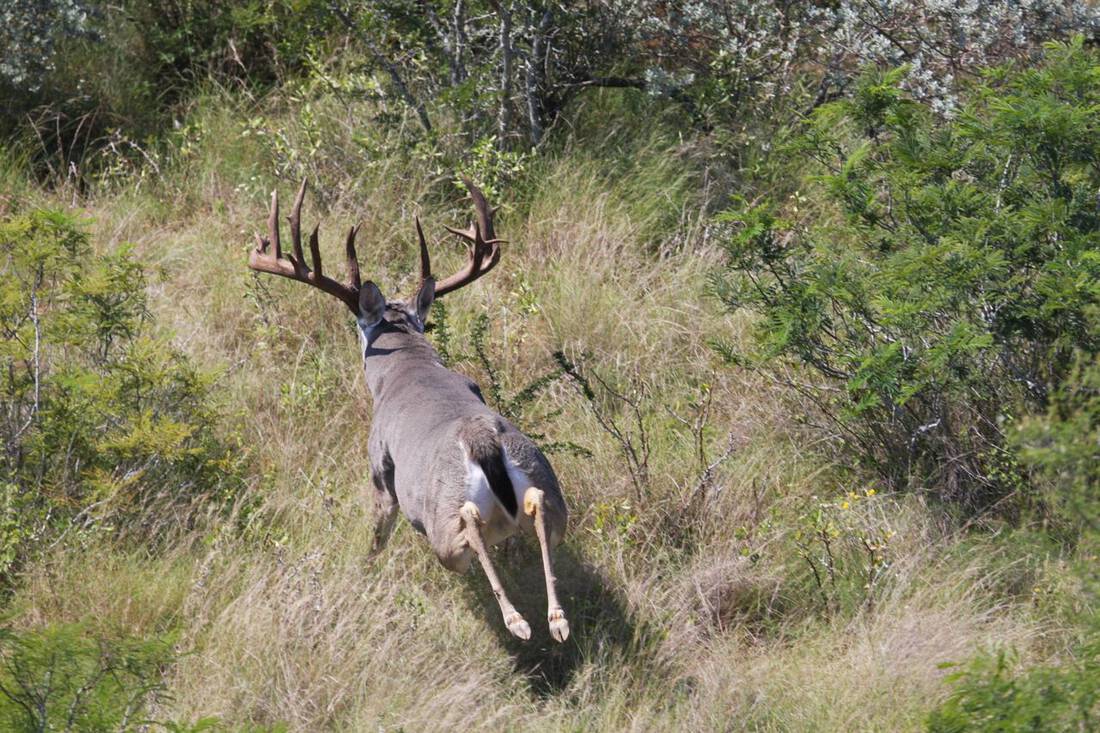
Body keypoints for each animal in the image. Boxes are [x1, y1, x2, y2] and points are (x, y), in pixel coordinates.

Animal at [246, 177, 572, 638]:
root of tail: (482, 441)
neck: (409, 367)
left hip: (439, 519)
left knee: (460, 535)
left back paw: (517, 621)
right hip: (548, 485)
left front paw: (364, 569)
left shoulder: (379, 466)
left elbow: (377, 533)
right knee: (541, 514)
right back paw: (555, 620)